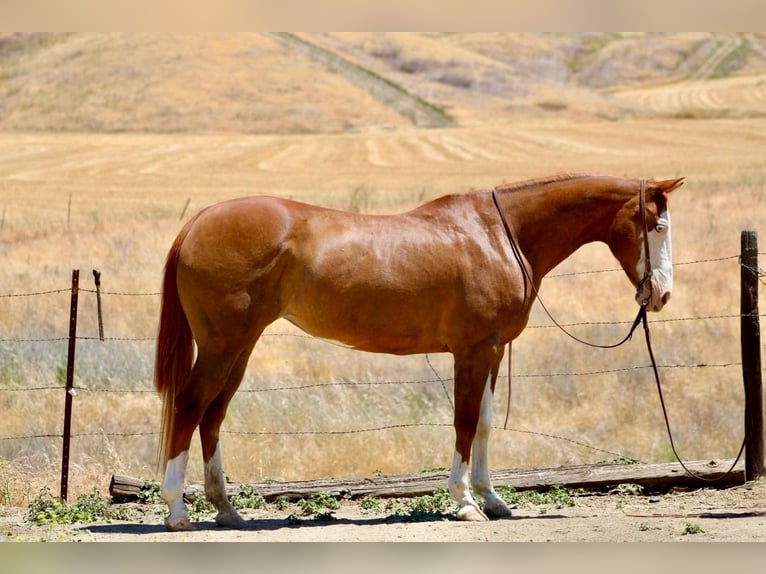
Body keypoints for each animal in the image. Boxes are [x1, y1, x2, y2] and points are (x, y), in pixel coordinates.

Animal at [154, 173, 684, 531]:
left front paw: (492, 499)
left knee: (213, 415)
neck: (500, 235)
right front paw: (465, 503)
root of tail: (198, 222)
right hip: (224, 344)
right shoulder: (472, 351)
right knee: (190, 406)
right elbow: (464, 422)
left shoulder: (492, 352)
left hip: (240, 346)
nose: (661, 295)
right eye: (656, 225)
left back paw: (226, 510)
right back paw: (177, 511)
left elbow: (484, 423)